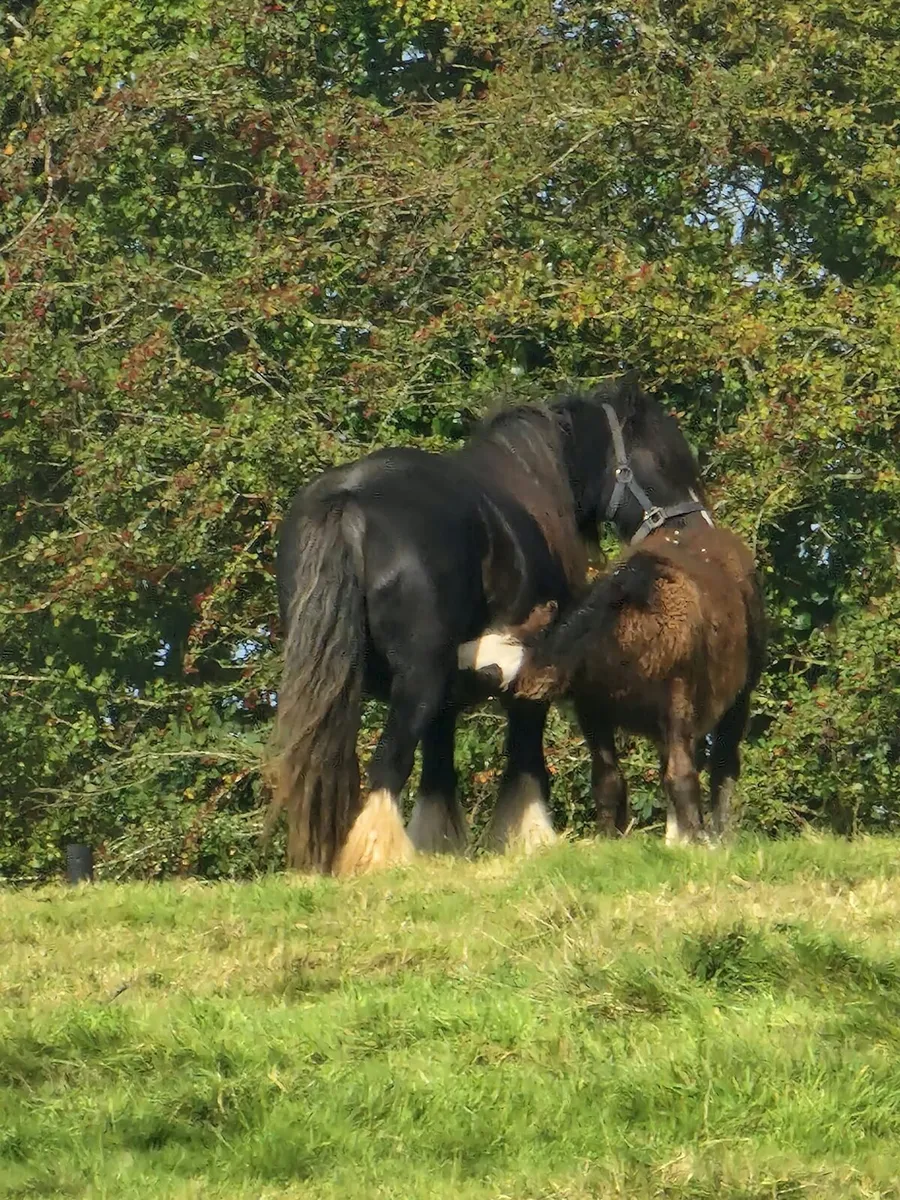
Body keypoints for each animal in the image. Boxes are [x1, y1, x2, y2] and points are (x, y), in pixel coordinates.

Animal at [268, 373, 659, 876]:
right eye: (664, 453)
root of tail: (349, 502)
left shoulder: (453, 691)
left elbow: (438, 772)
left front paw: (442, 846)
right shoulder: (527, 675)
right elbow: (525, 759)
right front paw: (527, 839)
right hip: (420, 680)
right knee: (387, 766)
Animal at [459, 401, 766, 846]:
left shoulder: (679, 703)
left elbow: (684, 779)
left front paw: (697, 843)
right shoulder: (596, 713)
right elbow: (608, 782)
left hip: (738, 695)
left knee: (724, 767)